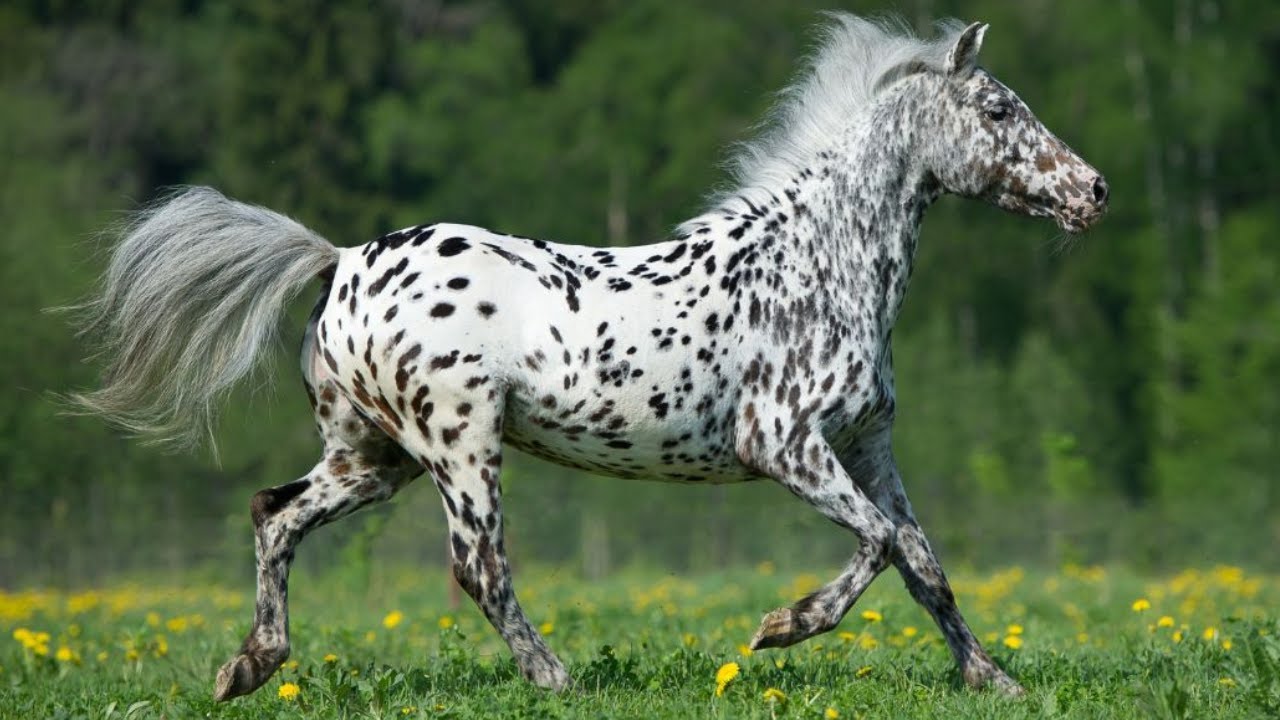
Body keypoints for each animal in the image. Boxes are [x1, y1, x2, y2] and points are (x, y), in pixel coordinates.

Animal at [70, 15, 1107, 701]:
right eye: (998, 109)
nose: (1093, 191)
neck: (818, 264)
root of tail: (344, 261)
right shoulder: (783, 443)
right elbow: (882, 545)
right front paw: (780, 628)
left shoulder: (866, 445)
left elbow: (926, 563)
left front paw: (995, 680)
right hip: (460, 447)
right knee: (478, 566)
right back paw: (558, 679)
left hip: (375, 456)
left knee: (274, 514)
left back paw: (248, 667)